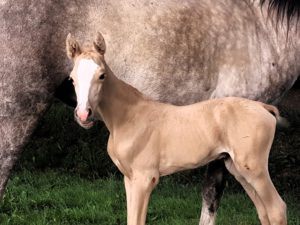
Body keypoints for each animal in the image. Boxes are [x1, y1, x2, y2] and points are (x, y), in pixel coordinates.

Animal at [67, 32, 288, 225]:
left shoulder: (144, 179)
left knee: (277, 209)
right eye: (72, 78)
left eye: (102, 75)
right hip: (238, 170)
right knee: (264, 212)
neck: (127, 116)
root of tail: (263, 107)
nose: (83, 115)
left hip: (255, 170)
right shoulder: (129, 180)